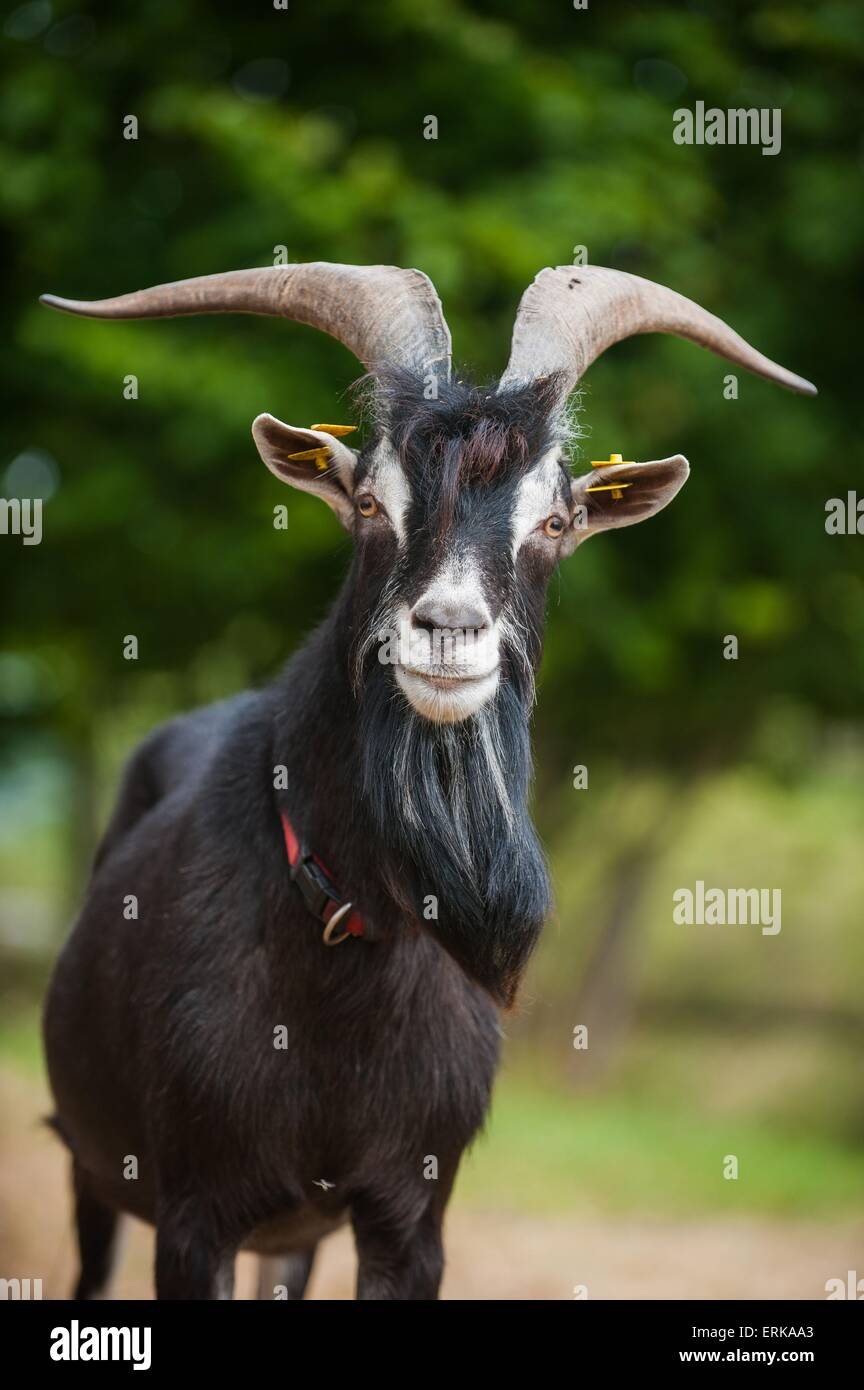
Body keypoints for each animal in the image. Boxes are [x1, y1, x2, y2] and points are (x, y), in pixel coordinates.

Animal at [39, 262, 814, 1299]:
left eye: (556, 520)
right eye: (369, 501)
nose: (448, 630)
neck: (355, 929)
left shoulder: (410, 1218)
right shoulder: (195, 1212)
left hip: (290, 1238)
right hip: (95, 1171)